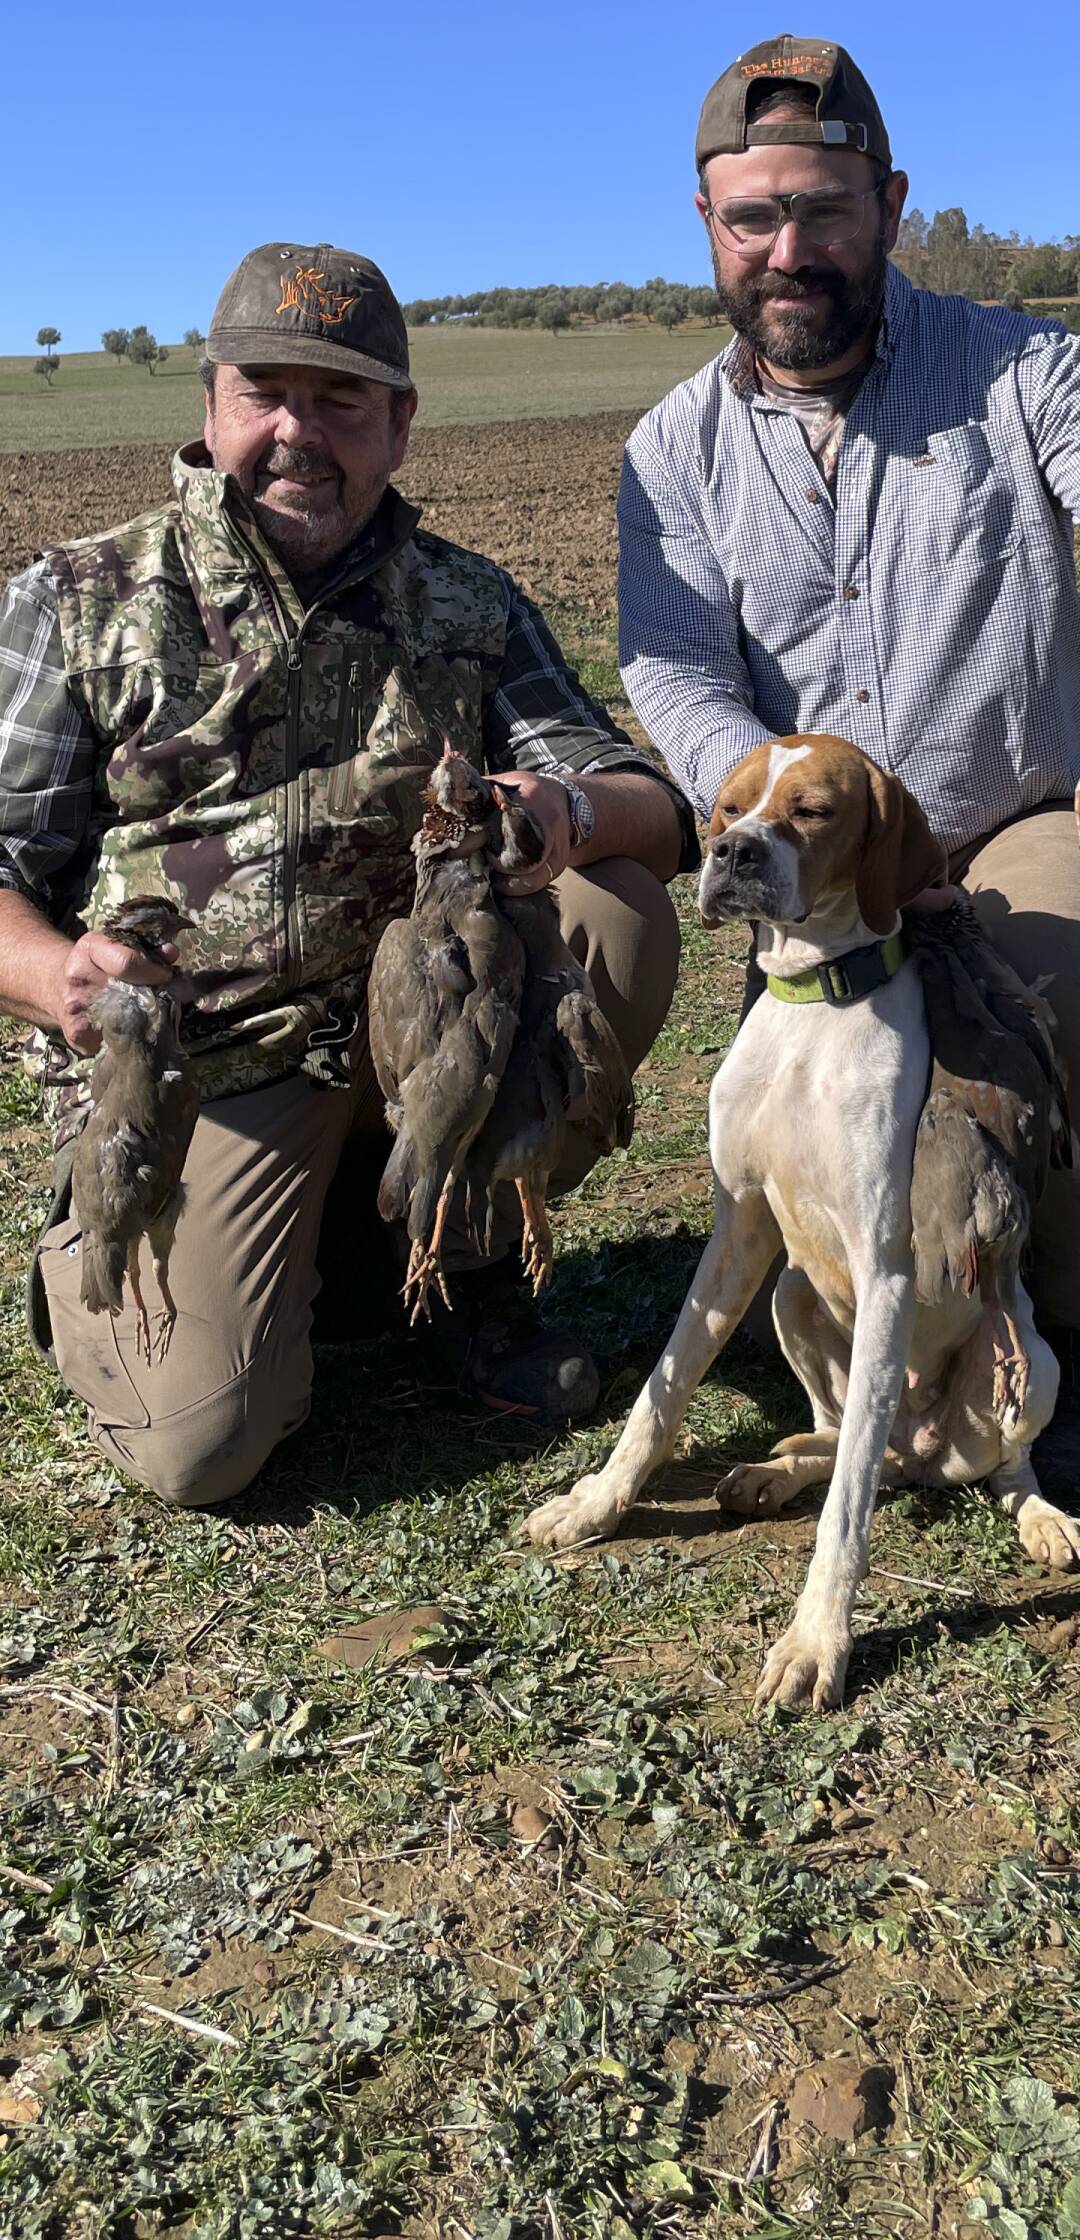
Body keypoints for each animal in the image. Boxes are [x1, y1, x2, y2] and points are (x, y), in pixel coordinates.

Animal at [524, 739, 1080, 1711]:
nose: (732, 853)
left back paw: (1042, 1517)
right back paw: (772, 1471)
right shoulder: (739, 1234)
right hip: (791, 1295)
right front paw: (596, 1502)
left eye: (813, 810)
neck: (813, 1010)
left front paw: (818, 1641)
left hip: (1027, 1361)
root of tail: (925, 1451)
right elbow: (662, 1393)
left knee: (978, 1465)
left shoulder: (888, 1271)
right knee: (849, 1439)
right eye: (726, 806)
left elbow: (847, 1515)